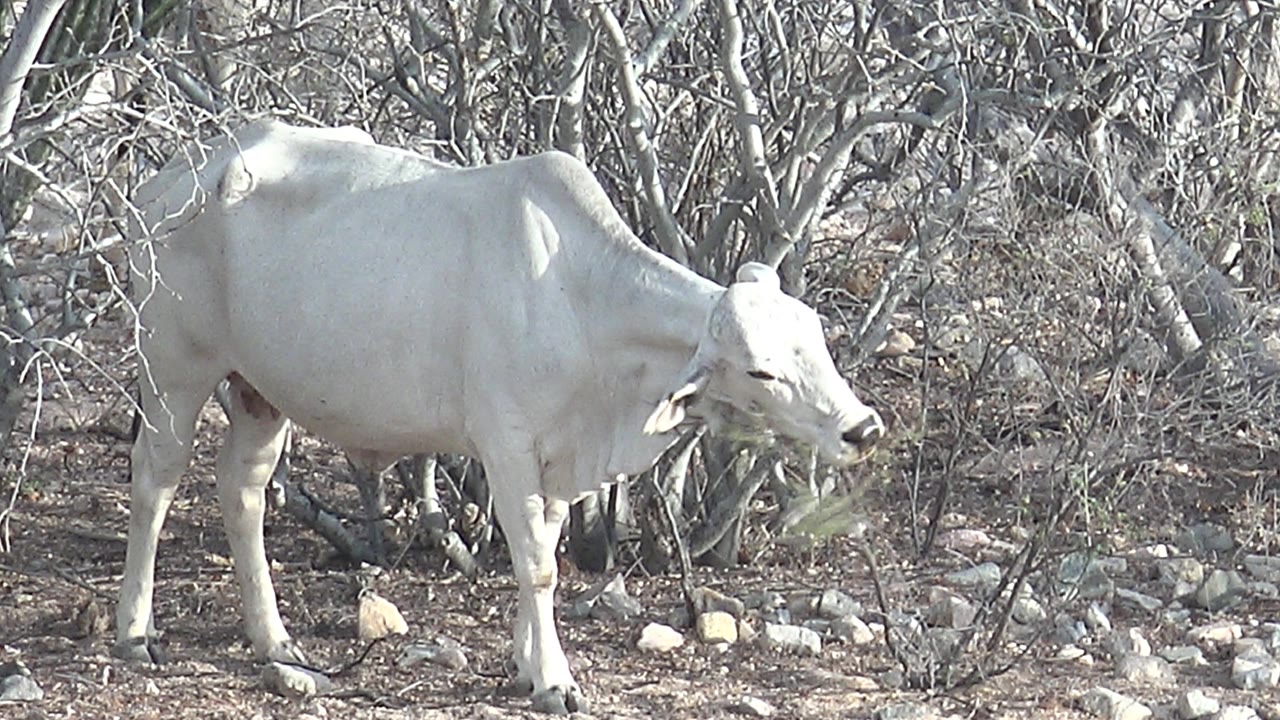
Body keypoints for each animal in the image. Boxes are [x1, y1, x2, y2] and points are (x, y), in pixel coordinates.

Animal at [114, 120, 885, 714]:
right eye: (761, 369)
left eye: (815, 336)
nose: (862, 428)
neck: (581, 301)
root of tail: (170, 179)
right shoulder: (506, 442)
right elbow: (538, 564)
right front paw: (554, 680)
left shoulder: (555, 459)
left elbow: (539, 546)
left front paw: (523, 661)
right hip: (174, 370)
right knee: (156, 480)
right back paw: (135, 632)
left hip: (259, 392)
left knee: (242, 491)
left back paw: (272, 638)